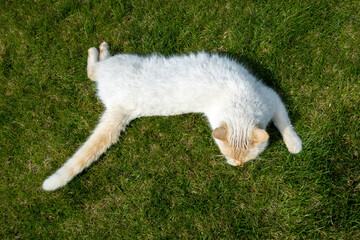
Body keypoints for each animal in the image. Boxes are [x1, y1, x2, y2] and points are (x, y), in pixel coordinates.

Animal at [41, 42, 300, 190]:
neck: (239, 104)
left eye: (245, 159)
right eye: (227, 155)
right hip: (123, 61)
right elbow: (286, 122)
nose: (236, 165)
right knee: (94, 70)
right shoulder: (270, 94)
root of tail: (121, 106)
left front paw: (293, 144)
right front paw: (296, 145)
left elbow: (284, 123)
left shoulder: (271, 98)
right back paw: (99, 50)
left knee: (94, 73)